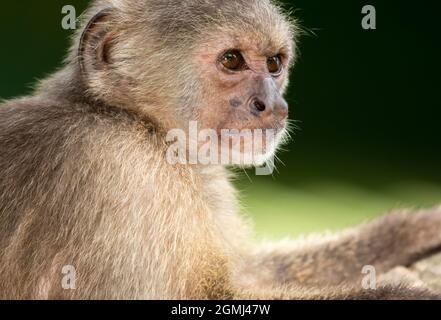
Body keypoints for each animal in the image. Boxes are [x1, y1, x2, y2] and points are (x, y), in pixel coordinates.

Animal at [0, 0, 440, 300]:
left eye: (274, 63)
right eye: (232, 60)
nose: (273, 105)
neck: (144, 125)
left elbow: (247, 273)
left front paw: (410, 230)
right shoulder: (114, 167)